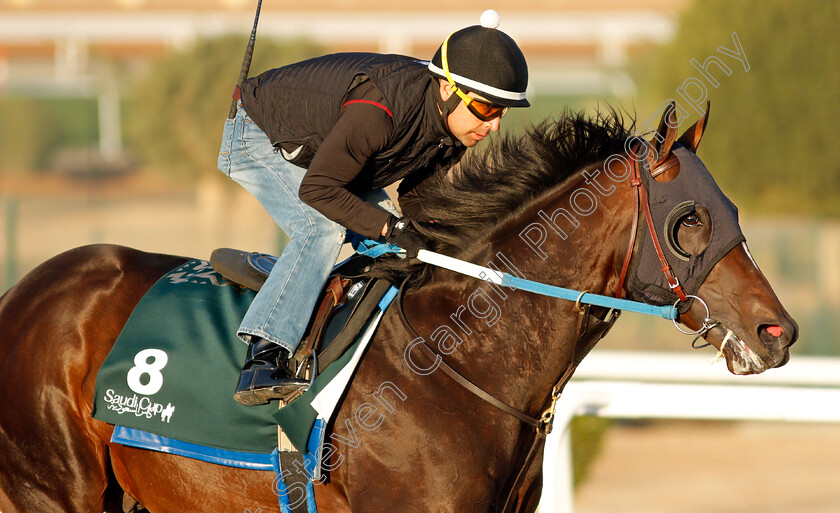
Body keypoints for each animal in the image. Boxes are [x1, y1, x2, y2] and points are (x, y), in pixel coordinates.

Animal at [0, 102, 796, 510]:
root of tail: (24, 291)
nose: (778, 330)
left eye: (731, 211)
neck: (454, 362)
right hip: (54, 491)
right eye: (690, 222)